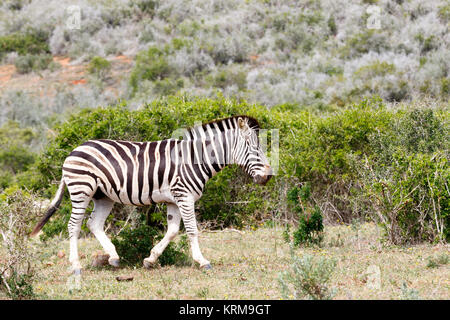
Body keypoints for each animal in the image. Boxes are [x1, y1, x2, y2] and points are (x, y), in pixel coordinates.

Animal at [31, 114, 272, 272]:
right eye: (254, 148)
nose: (268, 177)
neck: (196, 159)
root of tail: (74, 150)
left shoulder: (175, 199)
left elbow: (173, 231)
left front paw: (150, 259)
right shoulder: (184, 196)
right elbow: (192, 230)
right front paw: (202, 261)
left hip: (103, 196)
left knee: (94, 224)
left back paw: (114, 257)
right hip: (82, 189)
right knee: (74, 225)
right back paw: (75, 265)